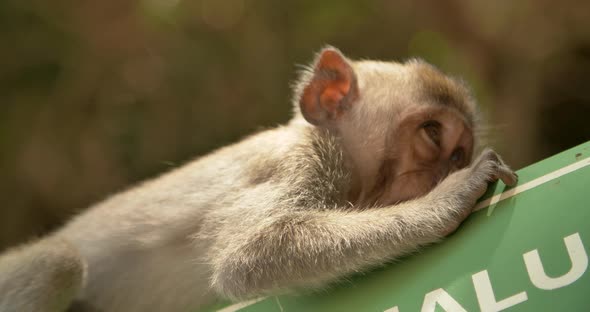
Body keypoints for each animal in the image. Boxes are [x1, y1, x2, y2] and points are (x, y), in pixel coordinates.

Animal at [0, 47, 520, 312]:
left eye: (457, 153)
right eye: (432, 134)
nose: (446, 171)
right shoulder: (295, 164)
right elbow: (249, 255)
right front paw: (450, 198)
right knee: (57, 263)